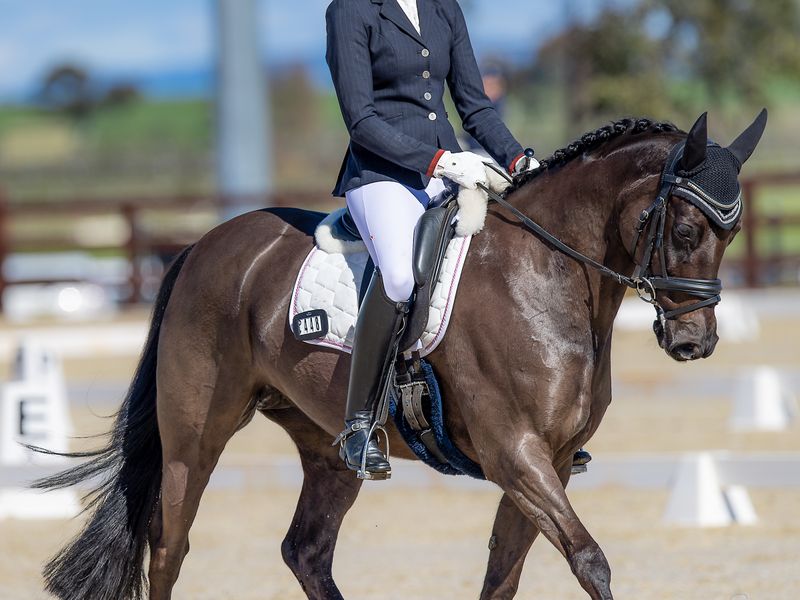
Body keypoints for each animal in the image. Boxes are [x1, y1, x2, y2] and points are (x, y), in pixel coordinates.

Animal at [35, 111, 766, 599]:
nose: (694, 343)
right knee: (171, 546)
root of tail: (203, 245)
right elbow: (589, 560)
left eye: (730, 236)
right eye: (685, 229)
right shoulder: (515, 454)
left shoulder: (551, 460)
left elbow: (503, 575)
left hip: (329, 447)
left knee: (305, 550)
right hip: (196, 435)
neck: (546, 275)